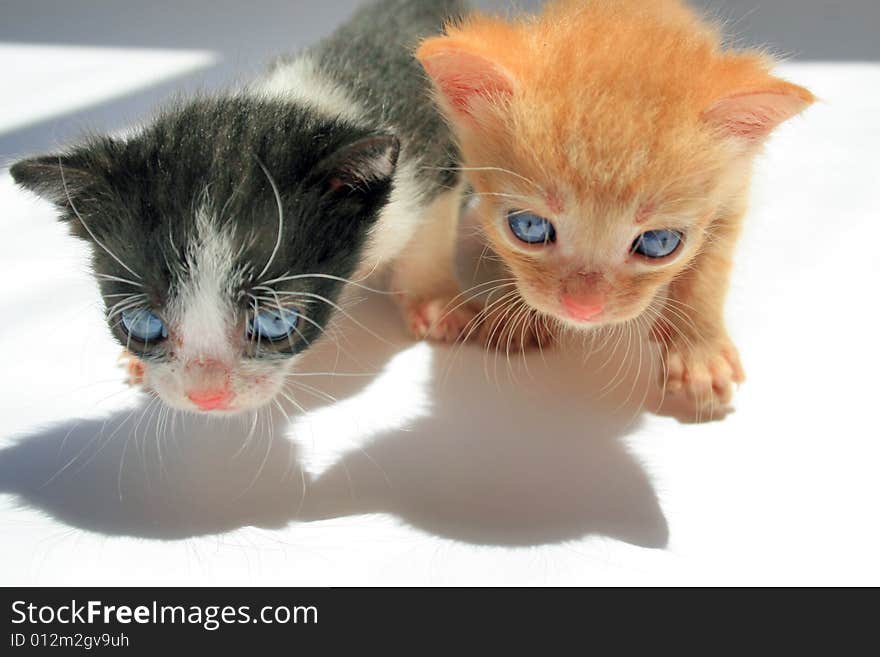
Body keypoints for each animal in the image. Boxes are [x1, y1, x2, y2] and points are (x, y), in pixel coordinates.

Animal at [416, 0, 816, 412]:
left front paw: (698, 349)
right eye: (528, 227)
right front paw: (515, 309)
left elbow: (710, 269)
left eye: (659, 242)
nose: (583, 308)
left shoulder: (734, 189)